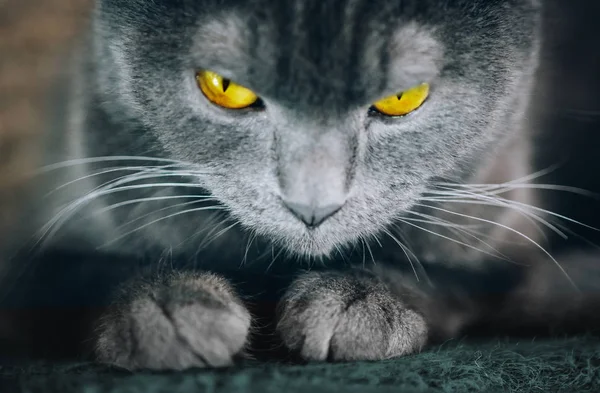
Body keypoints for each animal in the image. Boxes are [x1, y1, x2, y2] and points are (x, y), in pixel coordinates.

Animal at [5, 0, 600, 370]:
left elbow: (461, 281)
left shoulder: (503, 226)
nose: (313, 204)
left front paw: (359, 301)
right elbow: (69, 274)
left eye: (403, 97)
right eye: (225, 86)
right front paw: (166, 307)